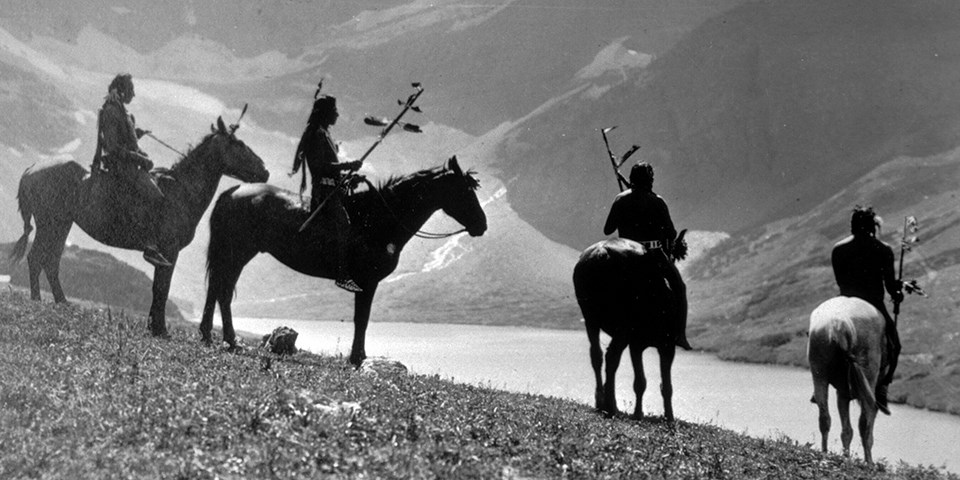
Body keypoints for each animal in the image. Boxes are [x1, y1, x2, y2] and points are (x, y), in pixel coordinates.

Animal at [9, 116, 268, 338]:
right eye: (238, 144)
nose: (264, 171)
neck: (181, 191)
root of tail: (32, 169)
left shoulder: (164, 254)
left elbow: (158, 288)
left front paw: (153, 326)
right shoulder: (169, 251)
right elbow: (162, 288)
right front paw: (160, 329)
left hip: (61, 224)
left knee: (50, 261)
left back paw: (61, 301)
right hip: (50, 224)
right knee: (37, 258)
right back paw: (37, 299)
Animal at [201, 156, 488, 366]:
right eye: (464, 190)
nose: (482, 225)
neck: (378, 218)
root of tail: (233, 191)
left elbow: (361, 319)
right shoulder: (367, 283)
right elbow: (362, 319)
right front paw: (357, 358)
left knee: (217, 290)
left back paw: (214, 336)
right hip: (237, 253)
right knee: (222, 291)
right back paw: (226, 339)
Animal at [572, 238, 680, 422]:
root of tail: (601, 252)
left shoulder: (636, 345)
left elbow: (640, 382)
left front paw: (638, 414)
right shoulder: (666, 345)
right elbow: (665, 385)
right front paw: (669, 418)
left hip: (591, 320)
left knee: (597, 355)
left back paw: (602, 402)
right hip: (623, 327)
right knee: (611, 356)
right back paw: (610, 406)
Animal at [808, 296, 888, 464]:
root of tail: (840, 324)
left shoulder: (842, 394)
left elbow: (846, 430)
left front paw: (846, 456)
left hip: (819, 374)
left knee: (824, 418)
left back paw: (824, 452)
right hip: (868, 379)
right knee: (865, 423)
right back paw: (869, 462)